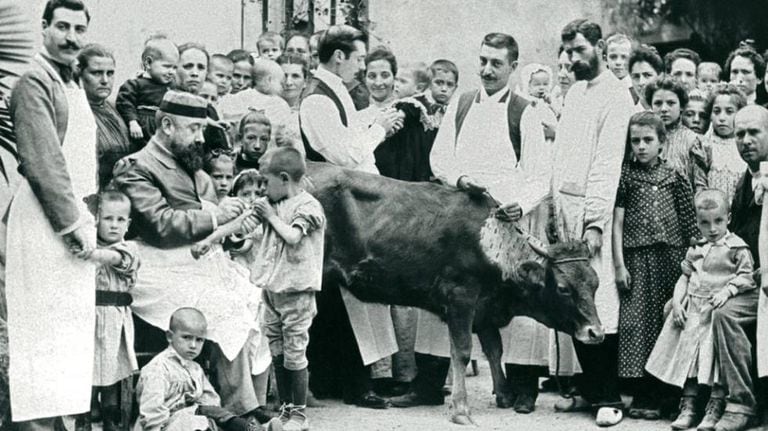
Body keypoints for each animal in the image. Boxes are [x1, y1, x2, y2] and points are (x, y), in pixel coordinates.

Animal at [302, 161, 604, 425]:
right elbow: (462, 351)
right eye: (563, 288)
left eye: (595, 283)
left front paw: (504, 393)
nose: (596, 332)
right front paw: (461, 409)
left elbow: (494, 348)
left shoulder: (484, 309)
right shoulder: (461, 298)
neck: (493, 244)